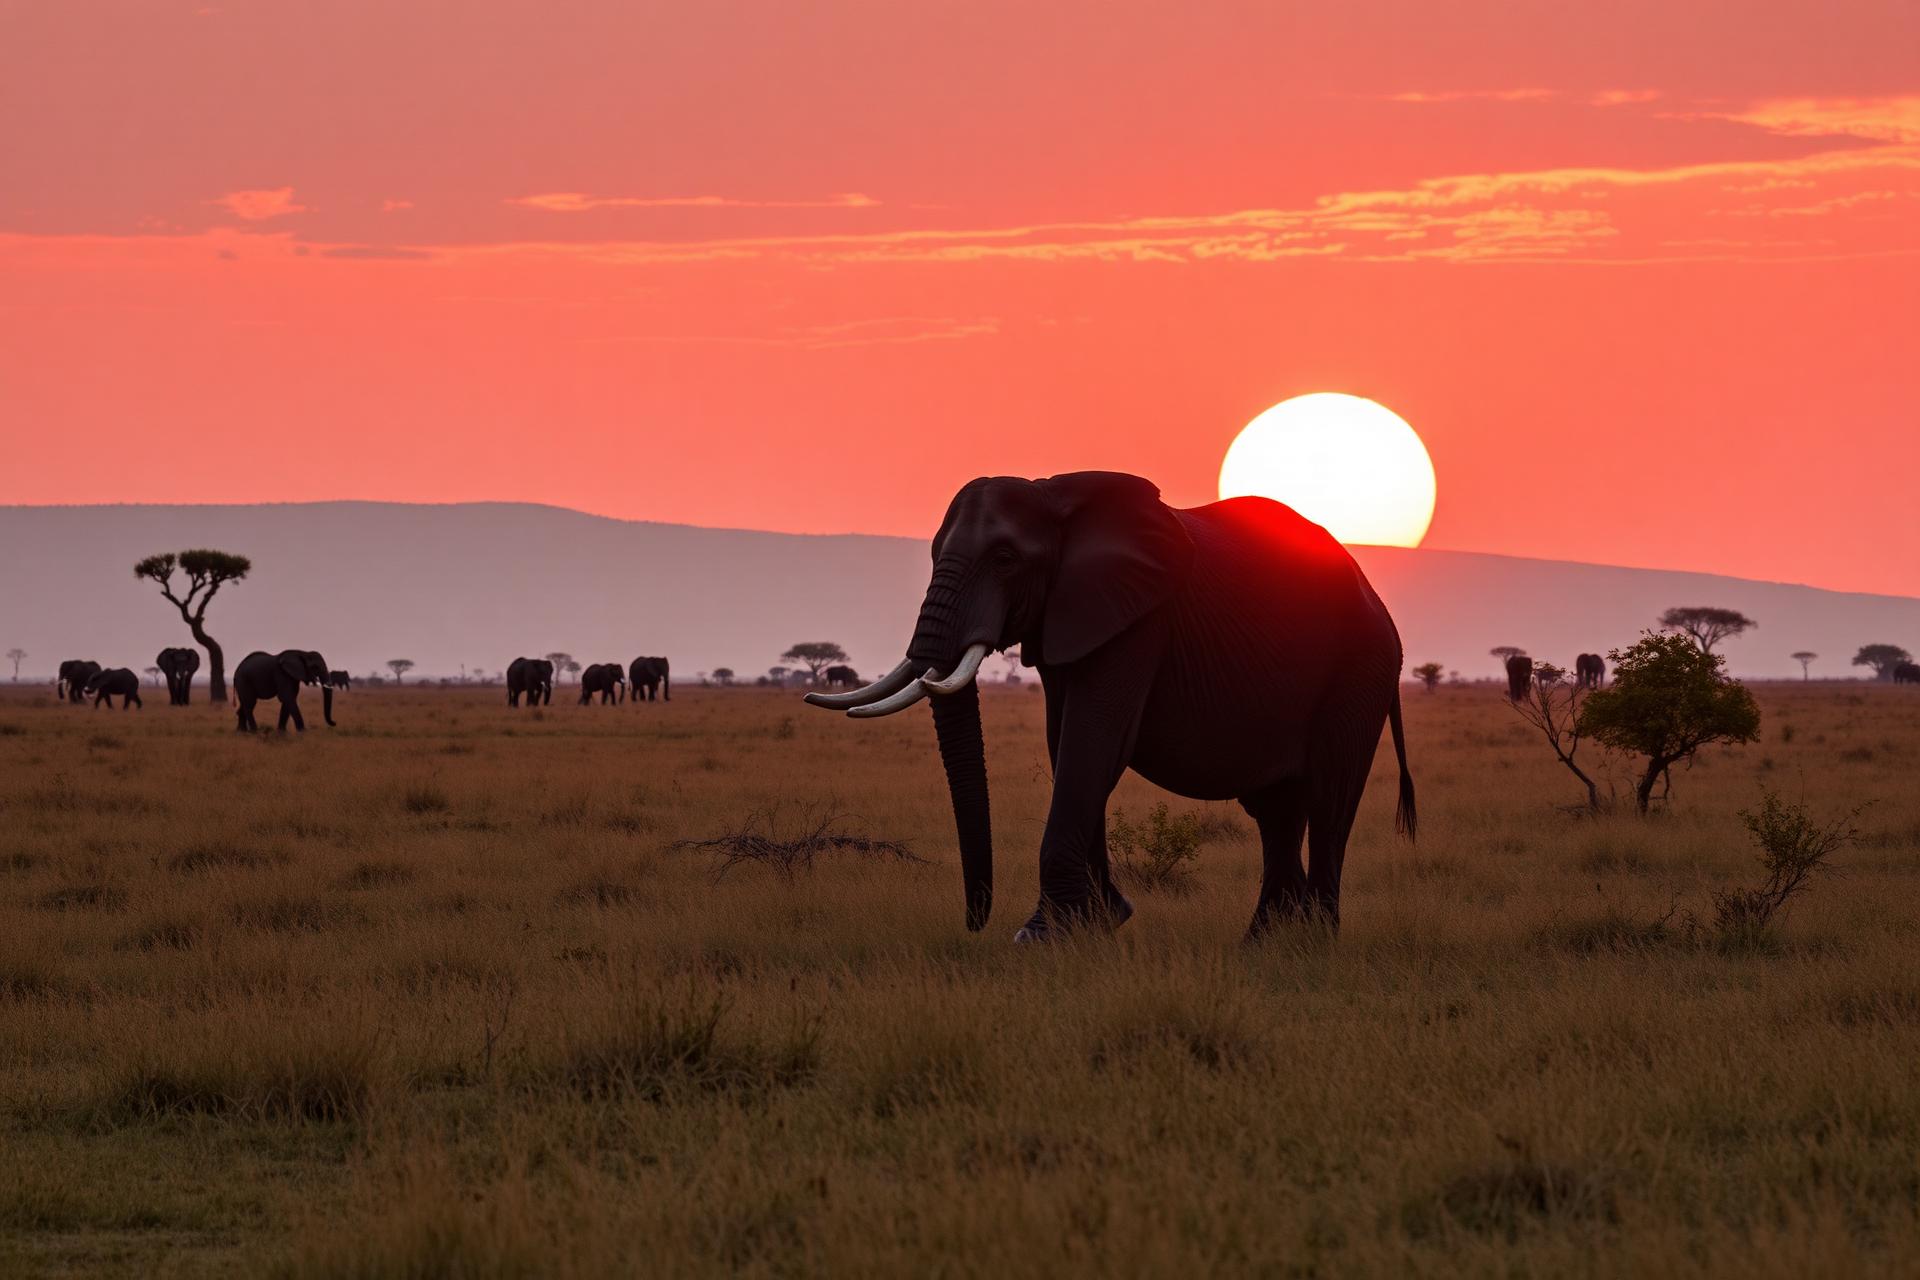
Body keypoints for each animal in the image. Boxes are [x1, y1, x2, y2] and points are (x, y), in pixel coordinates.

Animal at [805, 471, 1415, 942]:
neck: (1055, 495)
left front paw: (1044, 937)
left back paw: (1315, 944)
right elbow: (1067, 745)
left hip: (1359, 671)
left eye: (1005, 558)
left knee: (1330, 799)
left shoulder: (1140, 620)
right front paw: (1100, 922)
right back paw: (1260, 947)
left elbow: (1094, 740)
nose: (975, 922)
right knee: (1276, 810)